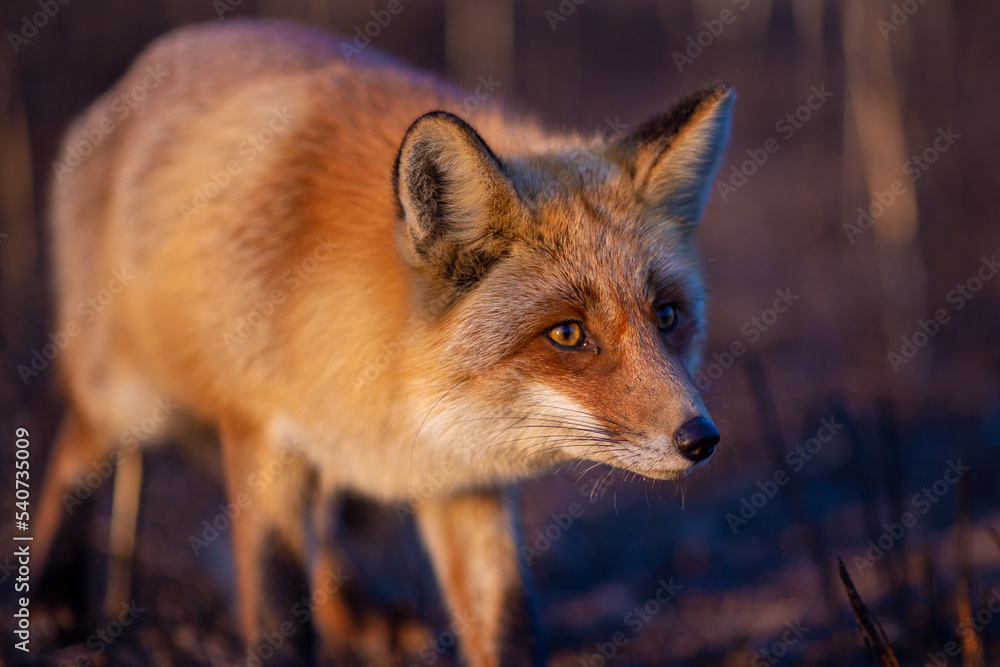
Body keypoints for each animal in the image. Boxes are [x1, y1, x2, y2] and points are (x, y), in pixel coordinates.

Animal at [35, 18, 736, 664]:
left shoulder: (461, 476)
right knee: (70, 457)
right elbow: (276, 609)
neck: (400, 396)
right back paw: (50, 596)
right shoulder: (260, 434)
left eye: (667, 316)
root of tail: (158, 56)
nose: (701, 440)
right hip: (127, 401)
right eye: (568, 333)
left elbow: (507, 621)